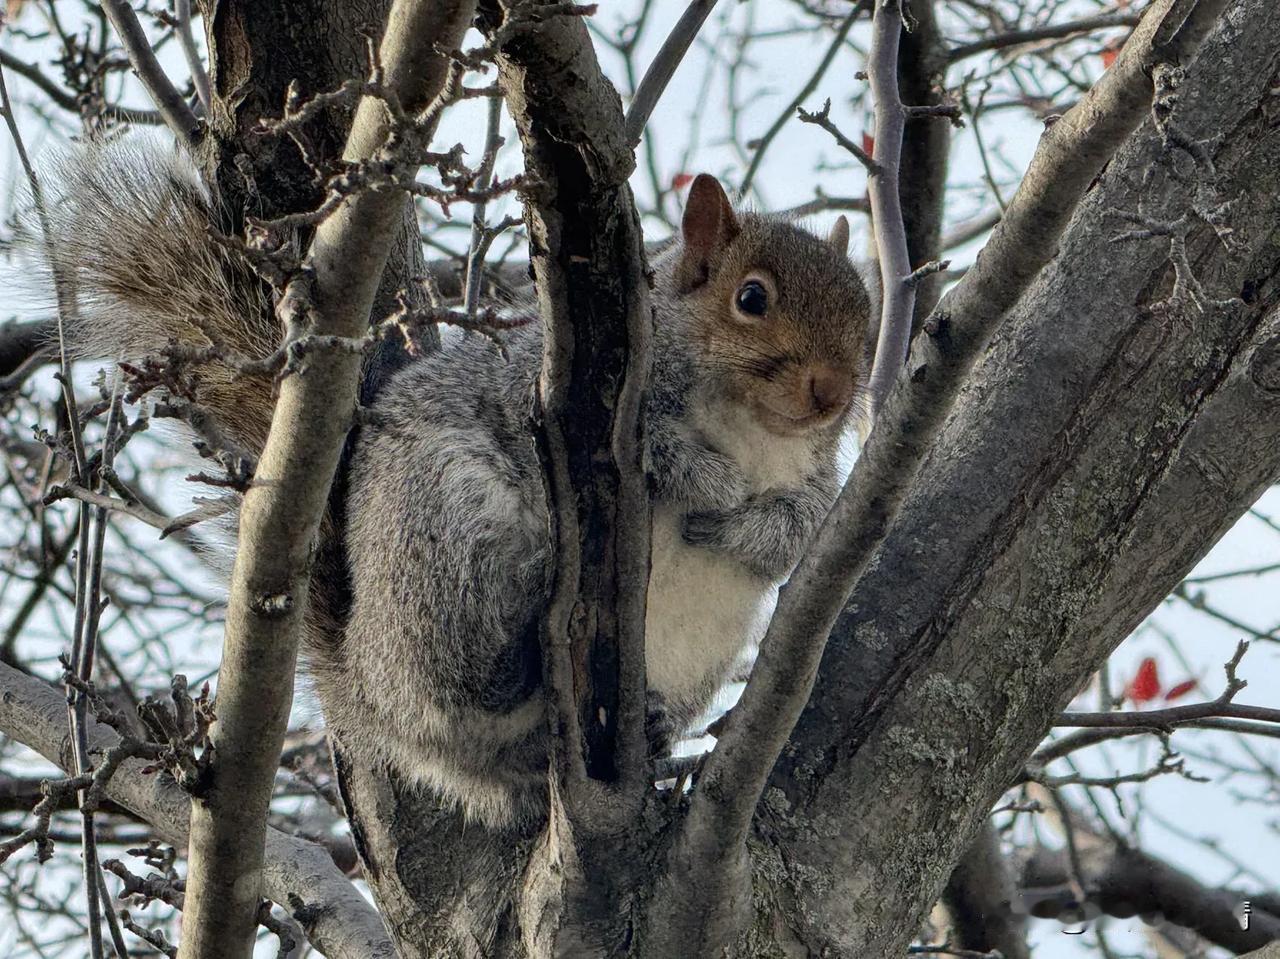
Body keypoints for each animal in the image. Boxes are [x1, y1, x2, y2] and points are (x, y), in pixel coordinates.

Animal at [30, 132, 875, 824]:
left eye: (867, 314)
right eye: (752, 298)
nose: (833, 391)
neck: (754, 431)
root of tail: (366, 688)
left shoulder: (814, 478)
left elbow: (795, 531)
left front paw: (744, 525)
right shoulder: (558, 400)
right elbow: (655, 451)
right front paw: (711, 484)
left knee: (502, 757)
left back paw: (645, 723)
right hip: (451, 538)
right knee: (465, 685)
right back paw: (526, 626)